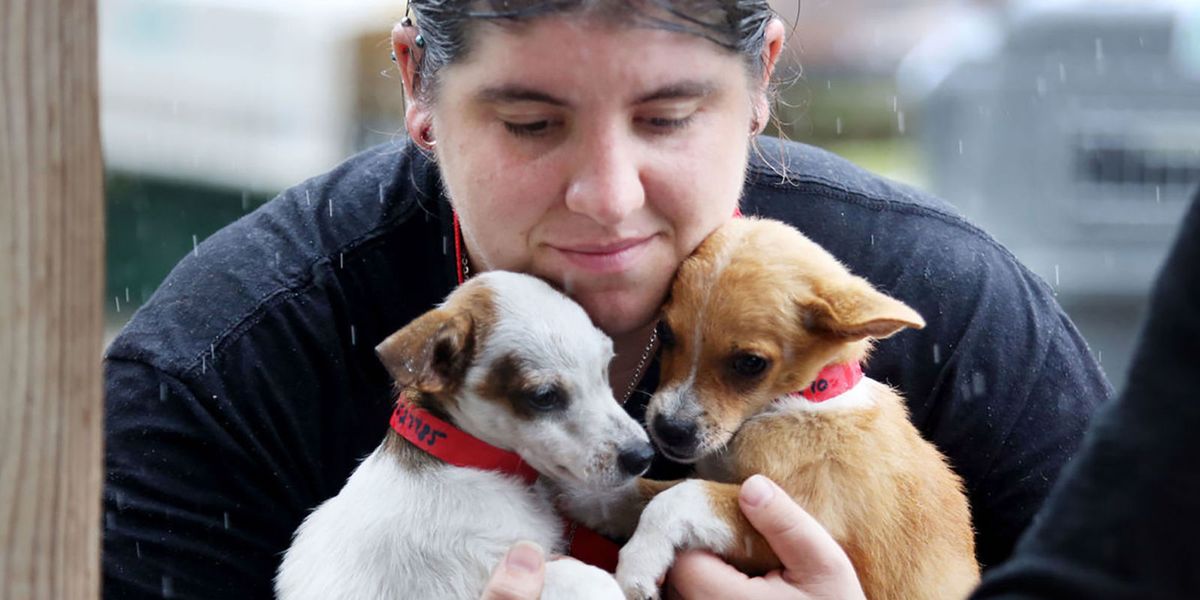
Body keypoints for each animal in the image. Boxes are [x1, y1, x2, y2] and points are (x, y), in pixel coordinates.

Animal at [614, 219, 979, 600]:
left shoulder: (811, 519)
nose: (669, 429)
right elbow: (641, 492)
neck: (802, 400)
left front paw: (636, 565)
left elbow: (678, 497)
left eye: (751, 363)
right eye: (664, 332)